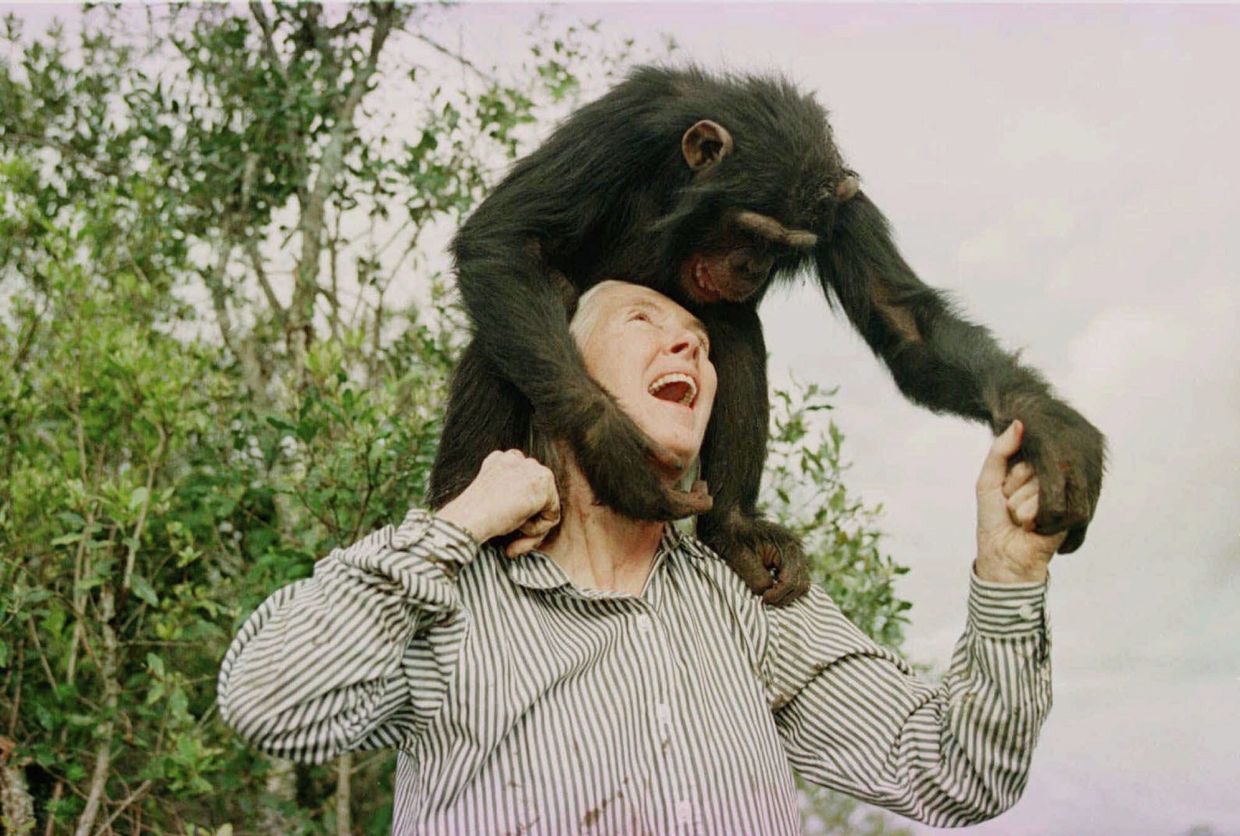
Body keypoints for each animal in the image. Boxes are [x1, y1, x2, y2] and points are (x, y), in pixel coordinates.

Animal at [427, 65, 1106, 605]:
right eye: (749, 230)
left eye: (784, 247)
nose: (751, 266)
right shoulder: (620, 126)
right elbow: (507, 238)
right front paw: (615, 453)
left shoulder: (843, 209)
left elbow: (902, 319)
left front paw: (1049, 428)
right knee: (519, 320)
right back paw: (461, 502)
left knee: (735, 329)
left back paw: (733, 528)